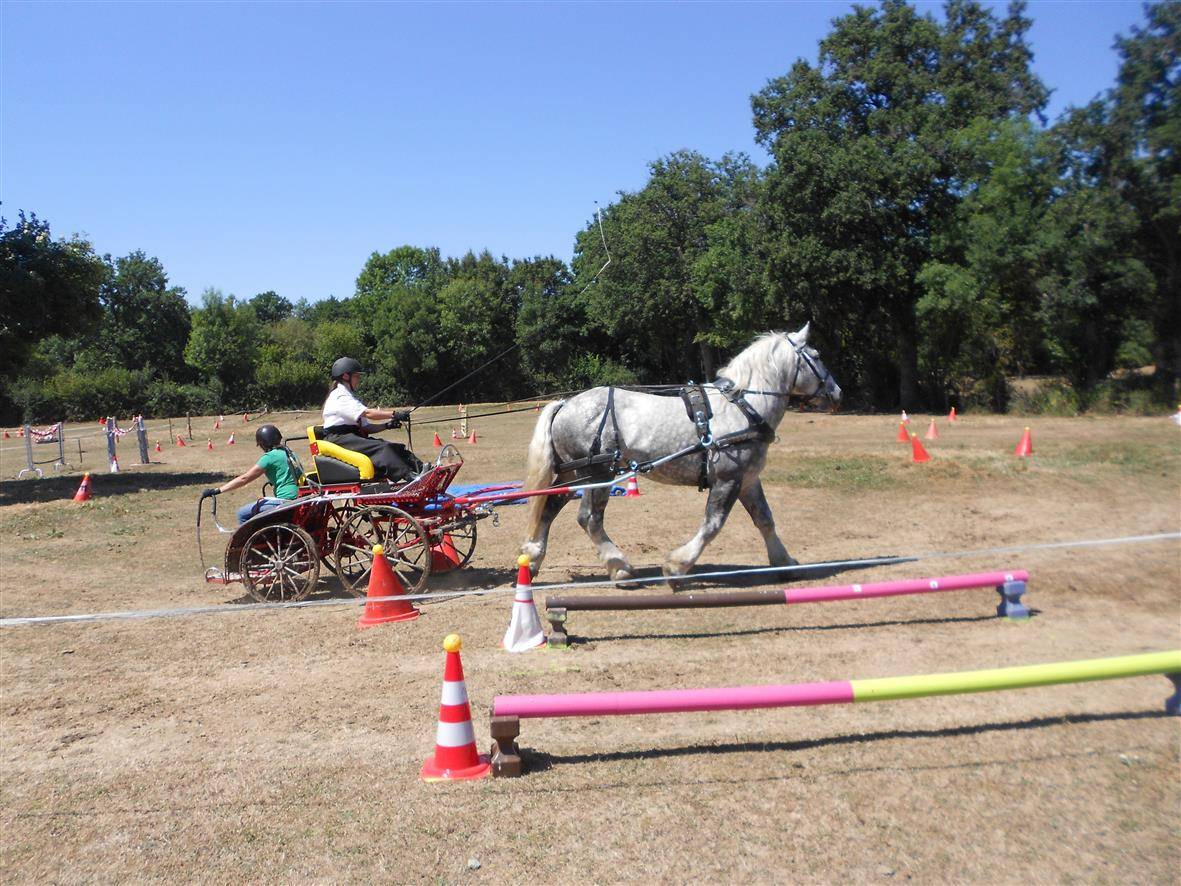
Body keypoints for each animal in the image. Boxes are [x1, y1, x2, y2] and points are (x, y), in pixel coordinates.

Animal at [520, 324, 841, 583]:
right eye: (816, 355)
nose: (837, 392)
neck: (744, 406)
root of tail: (565, 403)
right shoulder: (728, 478)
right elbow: (712, 524)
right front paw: (677, 566)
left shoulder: (748, 479)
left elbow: (764, 519)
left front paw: (784, 562)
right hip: (597, 473)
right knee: (589, 518)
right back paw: (619, 567)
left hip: (574, 473)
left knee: (549, 508)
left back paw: (532, 558)